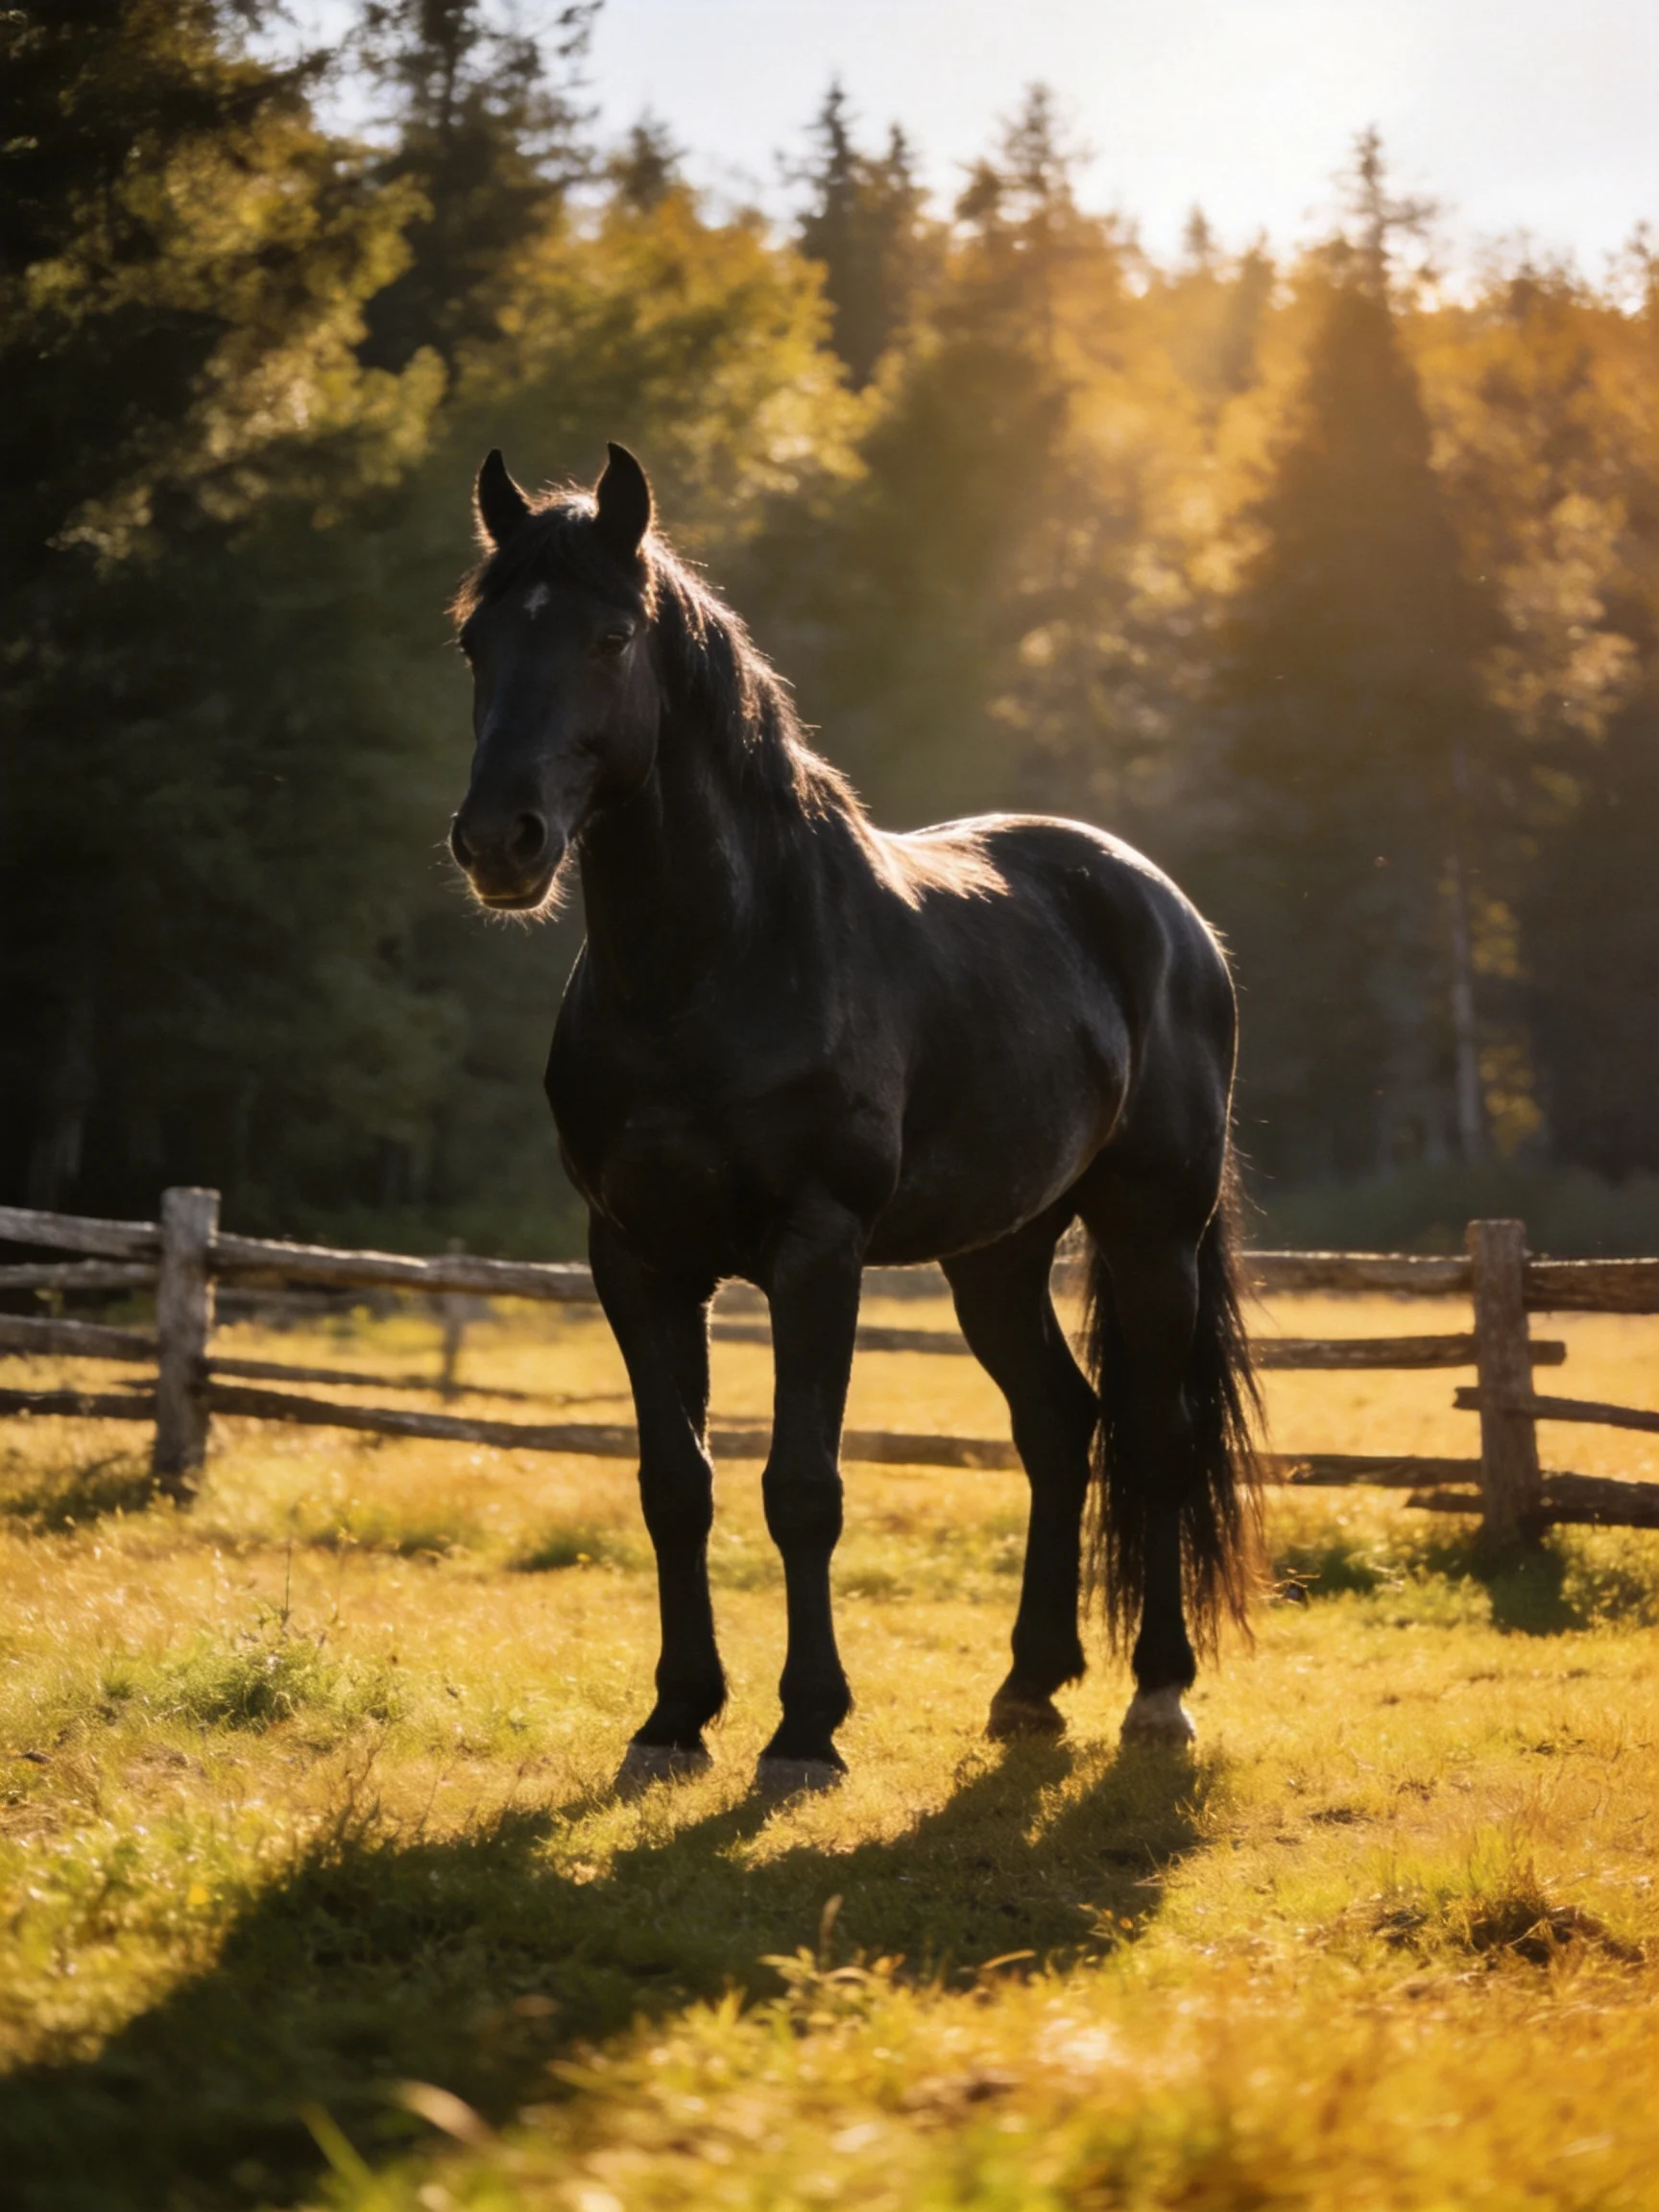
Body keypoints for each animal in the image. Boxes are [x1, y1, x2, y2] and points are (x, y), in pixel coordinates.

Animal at [448, 442, 1262, 1797]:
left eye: (611, 637)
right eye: (477, 641)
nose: (498, 843)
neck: (712, 968)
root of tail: (1161, 905)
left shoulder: (815, 1251)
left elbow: (803, 1487)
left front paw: (804, 1731)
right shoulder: (635, 1259)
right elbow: (675, 1484)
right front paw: (675, 1719)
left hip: (1152, 1235)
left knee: (1150, 1432)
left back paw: (1158, 1695)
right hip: (997, 1255)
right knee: (1060, 1426)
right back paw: (1028, 1687)